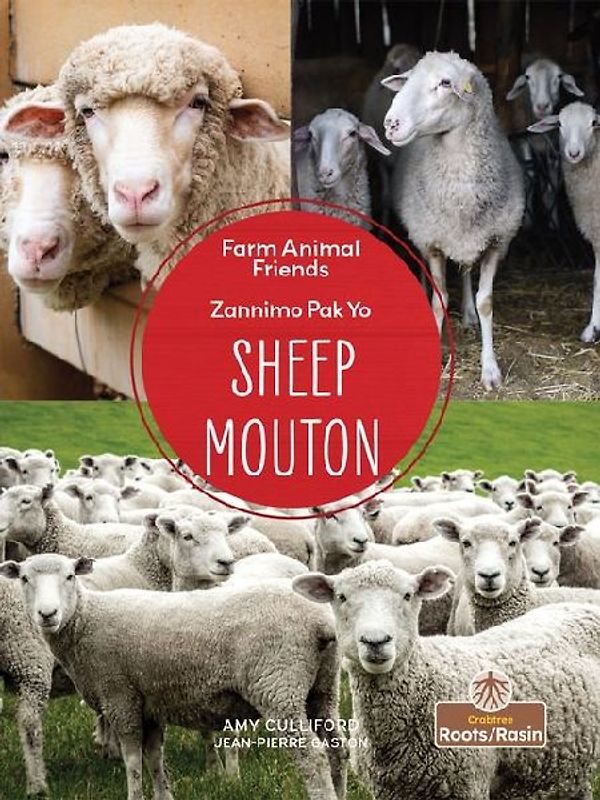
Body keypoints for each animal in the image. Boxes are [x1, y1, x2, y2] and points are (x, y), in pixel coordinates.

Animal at [5, 553, 347, 800]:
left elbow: (133, 761)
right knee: (337, 748)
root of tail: (320, 622)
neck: (86, 619)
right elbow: (155, 758)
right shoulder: (150, 703)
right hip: (323, 689)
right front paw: (163, 795)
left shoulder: (120, 697)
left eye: (70, 576)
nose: (47, 615)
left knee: (313, 756)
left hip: (278, 685)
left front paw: (135, 796)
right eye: (24, 578)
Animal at [294, 560, 600, 800]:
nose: (376, 641)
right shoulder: (389, 791)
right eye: (341, 597)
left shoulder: (468, 784)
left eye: (408, 595)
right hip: (571, 762)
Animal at [384, 51, 525, 389]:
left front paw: (490, 369)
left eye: (446, 83)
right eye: (407, 79)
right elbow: (440, 301)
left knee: (465, 271)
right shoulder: (432, 242)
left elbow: (486, 301)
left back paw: (469, 315)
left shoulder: (496, 243)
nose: (391, 123)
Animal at [530, 102, 600, 341]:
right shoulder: (595, 232)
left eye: (594, 123)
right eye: (559, 124)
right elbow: (597, 279)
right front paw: (592, 328)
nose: (574, 153)